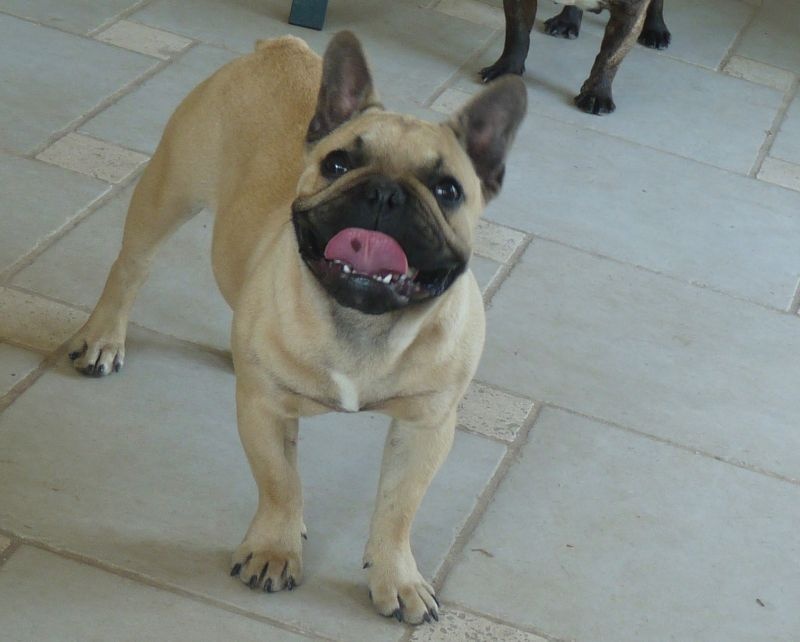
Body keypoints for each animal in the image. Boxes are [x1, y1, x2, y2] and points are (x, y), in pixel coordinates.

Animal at [67, 31, 526, 624]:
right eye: (337, 164)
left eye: (447, 190)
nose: (384, 193)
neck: (362, 322)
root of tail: (280, 45)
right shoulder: (265, 411)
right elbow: (280, 482)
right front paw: (274, 550)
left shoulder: (426, 426)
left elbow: (399, 506)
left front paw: (397, 577)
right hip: (167, 193)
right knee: (131, 267)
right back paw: (103, 338)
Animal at [480, 0, 671, 114]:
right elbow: (518, 32)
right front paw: (506, 69)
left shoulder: (630, 11)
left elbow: (610, 57)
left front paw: (597, 93)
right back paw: (567, 21)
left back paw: (656, 30)